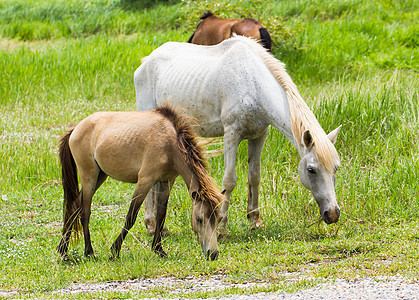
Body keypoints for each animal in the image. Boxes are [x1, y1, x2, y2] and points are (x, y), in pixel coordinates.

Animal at [58, 103, 226, 260]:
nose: (213, 254)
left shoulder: (166, 181)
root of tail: (76, 128)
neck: (170, 143)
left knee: (74, 205)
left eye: (219, 218)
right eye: (199, 219)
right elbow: (131, 216)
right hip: (89, 177)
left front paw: (158, 249)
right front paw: (115, 250)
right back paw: (89, 251)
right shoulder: (145, 180)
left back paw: (63, 249)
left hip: (100, 176)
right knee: (85, 211)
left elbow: (161, 215)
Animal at [136, 35, 342, 238]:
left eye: (336, 168)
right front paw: (221, 226)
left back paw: (160, 227)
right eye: (311, 170)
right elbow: (229, 180)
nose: (332, 214)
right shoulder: (231, 135)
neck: (252, 83)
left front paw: (255, 221)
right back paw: (151, 224)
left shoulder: (259, 136)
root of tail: (146, 61)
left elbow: (254, 176)